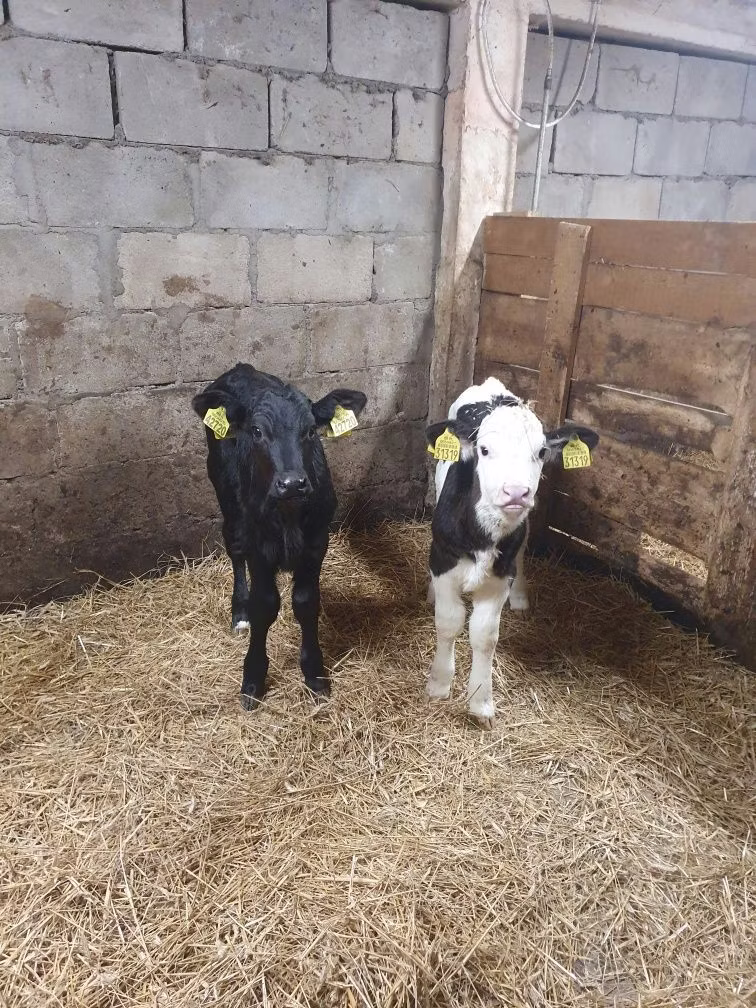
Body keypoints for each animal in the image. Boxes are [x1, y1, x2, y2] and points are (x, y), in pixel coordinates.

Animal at [192, 363, 367, 710]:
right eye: (257, 432)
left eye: (311, 430)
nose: (292, 483)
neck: (287, 513)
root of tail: (240, 368)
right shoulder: (259, 548)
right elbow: (264, 605)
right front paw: (253, 678)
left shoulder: (317, 543)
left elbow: (306, 602)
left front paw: (315, 673)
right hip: (227, 500)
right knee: (233, 549)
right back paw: (239, 613)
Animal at [425, 377, 598, 728]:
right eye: (484, 450)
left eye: (542, 451)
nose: (516, 492)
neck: (483, 535)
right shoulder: (444, 560)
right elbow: (449, 621)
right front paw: (439, 684)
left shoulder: (499, 576)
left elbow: (484, 636)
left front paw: (481, 704)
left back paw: (520, 598)